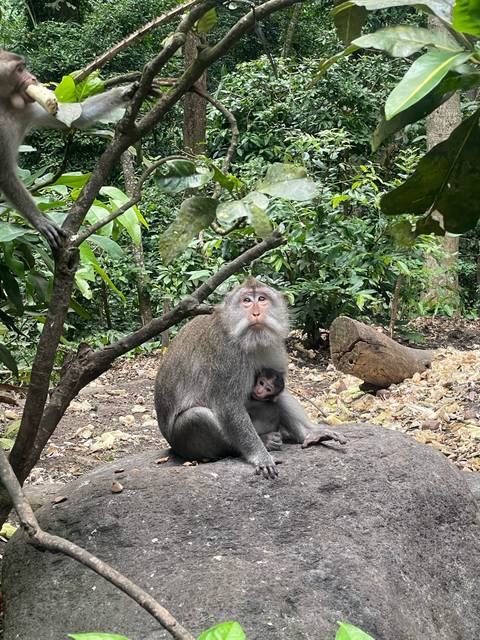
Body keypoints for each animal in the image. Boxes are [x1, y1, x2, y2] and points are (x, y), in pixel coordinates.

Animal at [0, 49, 136, 251]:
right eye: (19, 69)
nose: (34, 79)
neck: (6, 105)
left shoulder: (29, 105)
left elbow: (76, 116)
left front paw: (126, 91)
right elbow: (5, 173)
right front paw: (40, 220)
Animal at [154, 278, 346, 479]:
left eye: (261, 299)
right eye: (246, 300)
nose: (256, 313)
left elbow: (277, 388)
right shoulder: (226, 355)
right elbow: (228, 406)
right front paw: (260, 455)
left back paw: (309, 434)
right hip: (184, 444)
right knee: (197, 416)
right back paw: (262, 442)